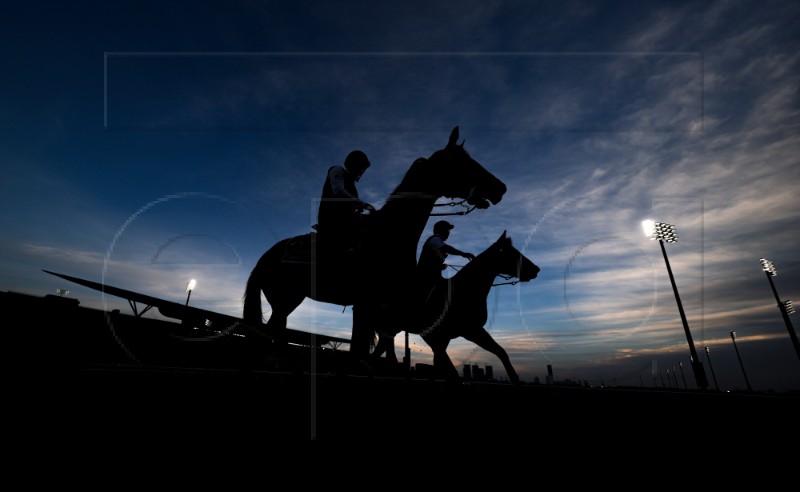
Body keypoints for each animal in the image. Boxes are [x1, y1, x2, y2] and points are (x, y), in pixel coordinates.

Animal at [244, 127, 506, 362]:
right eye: (461, 161)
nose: (500, 188)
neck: (388, 235)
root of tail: (265, 257)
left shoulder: (377, 309)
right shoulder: (365, 305)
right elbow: (359, 352)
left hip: (287, 302)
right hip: (284, 300)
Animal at [372, 231, 540, 384]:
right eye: (512, 253)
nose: (536, 269)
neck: (463, 291)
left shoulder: (467, 332)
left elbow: (501, 352)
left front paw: (515, 379)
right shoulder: (458, 332)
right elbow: (449, 369)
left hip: (391, 329)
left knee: (379, 352)